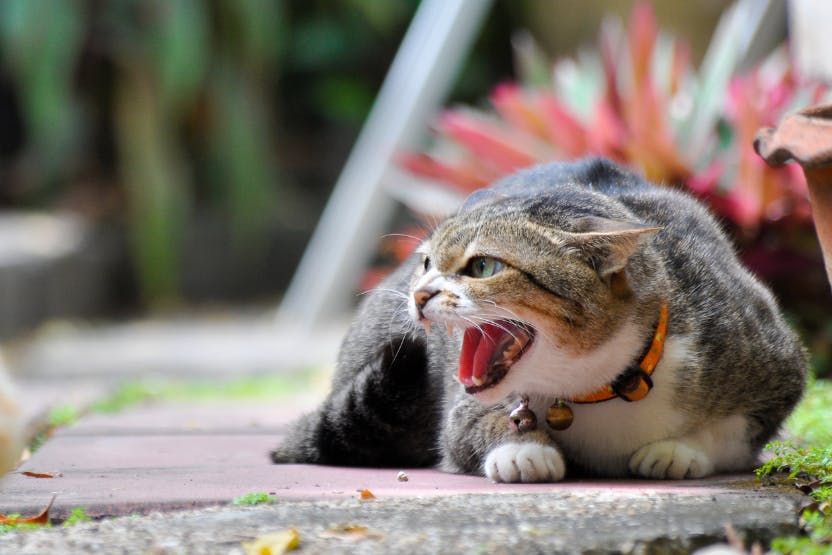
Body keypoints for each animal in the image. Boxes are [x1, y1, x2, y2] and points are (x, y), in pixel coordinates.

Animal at [272, 157, 808, 482]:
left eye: (482, 267)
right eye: (426, 262)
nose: (420, 294)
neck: (596, 387)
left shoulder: (780, 363)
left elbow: (733, 431)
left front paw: (678, 451)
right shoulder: (459, 416)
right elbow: (473, 430)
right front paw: (524, 449)